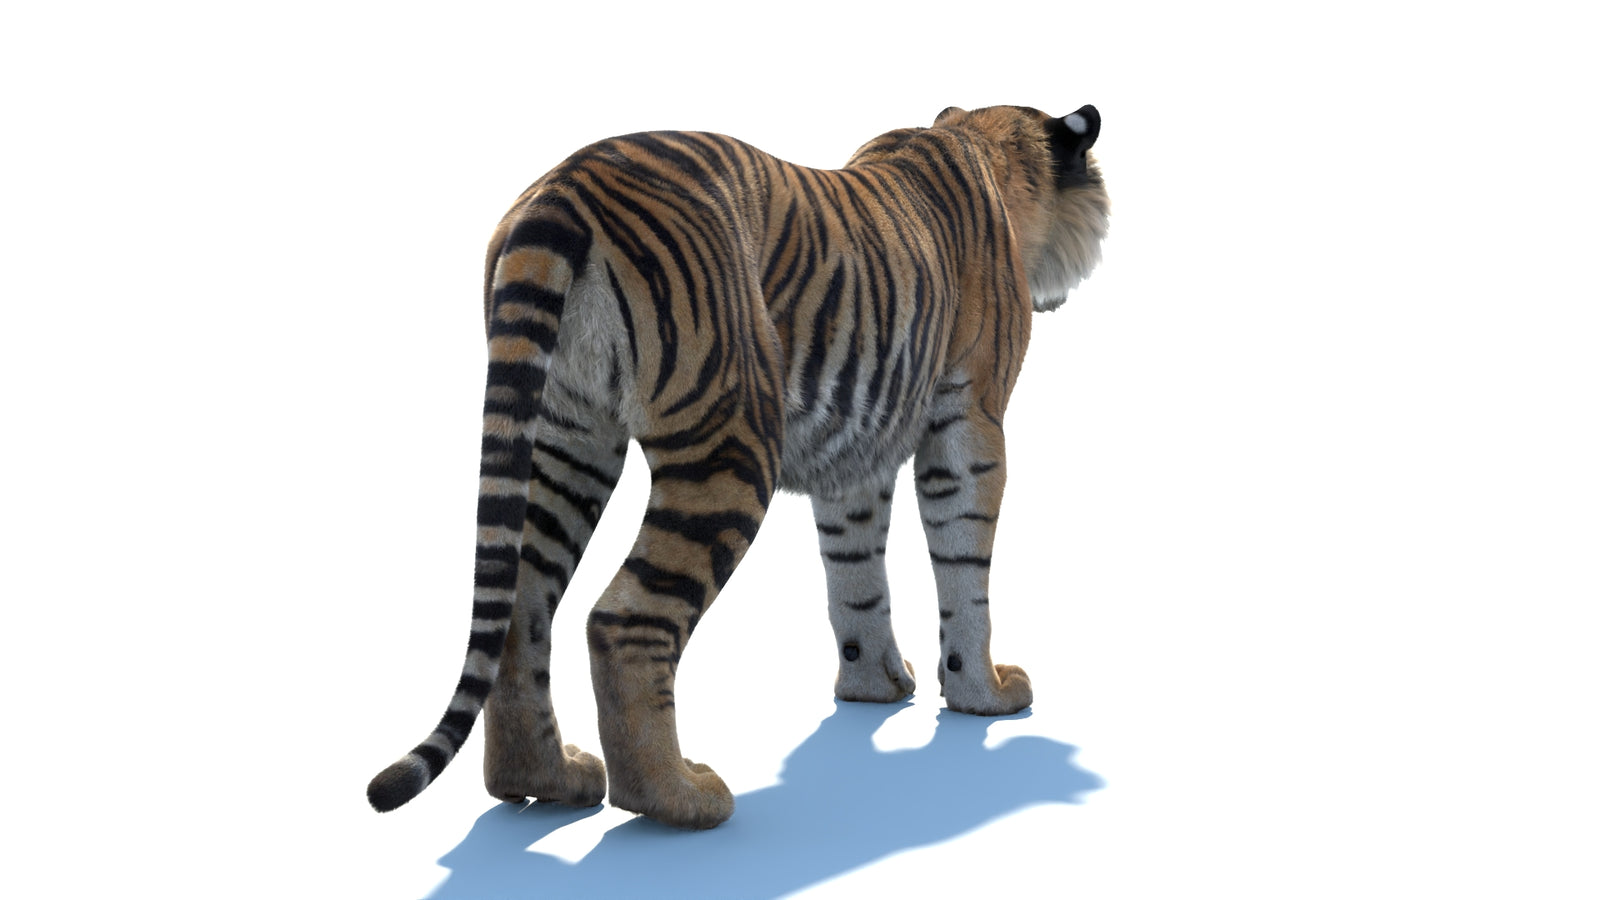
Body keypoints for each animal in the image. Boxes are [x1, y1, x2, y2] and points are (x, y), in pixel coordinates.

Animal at [367, 103, 1110, 830]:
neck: (980, 141)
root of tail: (564, 187)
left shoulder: (856, 449)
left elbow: (855, 574)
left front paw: (873, 686)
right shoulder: (971, 418)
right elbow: (965, 570)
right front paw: (983, 693)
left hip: (563, 436)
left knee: (522, 605)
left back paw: (547, 780)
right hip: (733, 436)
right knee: (622, 619)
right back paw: (678, 798)